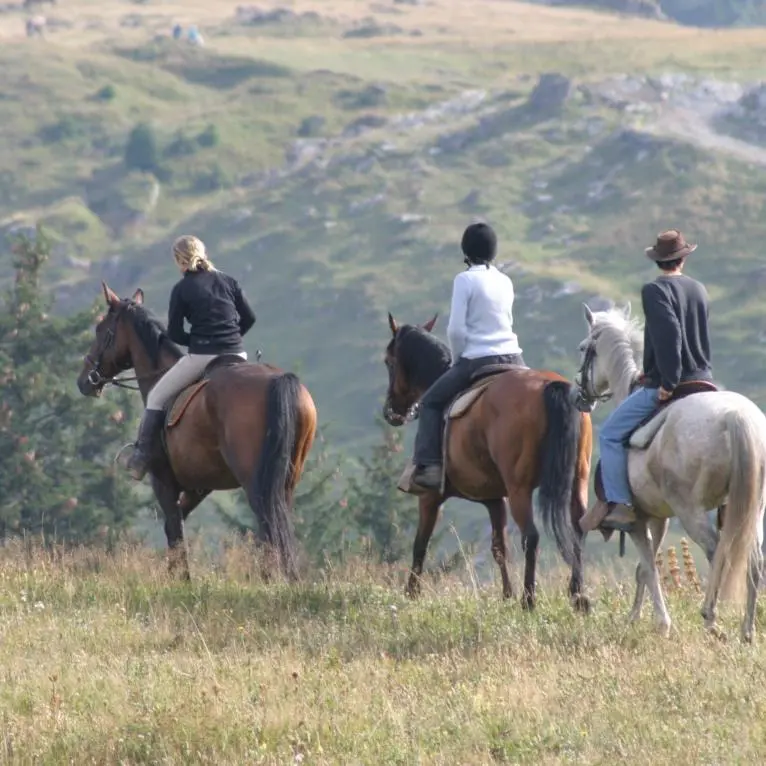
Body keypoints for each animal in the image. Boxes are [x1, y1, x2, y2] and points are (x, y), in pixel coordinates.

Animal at [76, 282, 317, 581]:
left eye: (100, 330)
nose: (84, 381)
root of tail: (279, 379)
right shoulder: (198, 487)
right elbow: (176, 526)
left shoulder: (164, 482)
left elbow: (174, 530)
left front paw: (180, 580)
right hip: (285, 479)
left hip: (254, 480)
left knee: (267, 522)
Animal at [382, 312, 593, 612]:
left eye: (389, 361)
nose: (392, 412)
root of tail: (551, 385)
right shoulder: (494, 499)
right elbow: (499, 547)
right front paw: (506, 594)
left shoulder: (429, 497)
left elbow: (420, 543)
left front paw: (411, 593)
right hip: (577, 480)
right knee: (578, 529)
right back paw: (577, 595)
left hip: (519, 489)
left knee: (531, 537)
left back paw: (529, 600)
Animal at [574, 302, 766, 641]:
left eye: (584, 348)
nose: (578, 395)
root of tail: (736, 416)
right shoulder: (658, 518)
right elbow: (643, 569)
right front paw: (635, 617)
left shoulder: (637, 522)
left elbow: (649, 567)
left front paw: (661, 623)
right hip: (753, 508)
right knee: (754, 560)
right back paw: (747, 631)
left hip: (691, 511)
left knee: (717, 551)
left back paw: (711, 618)